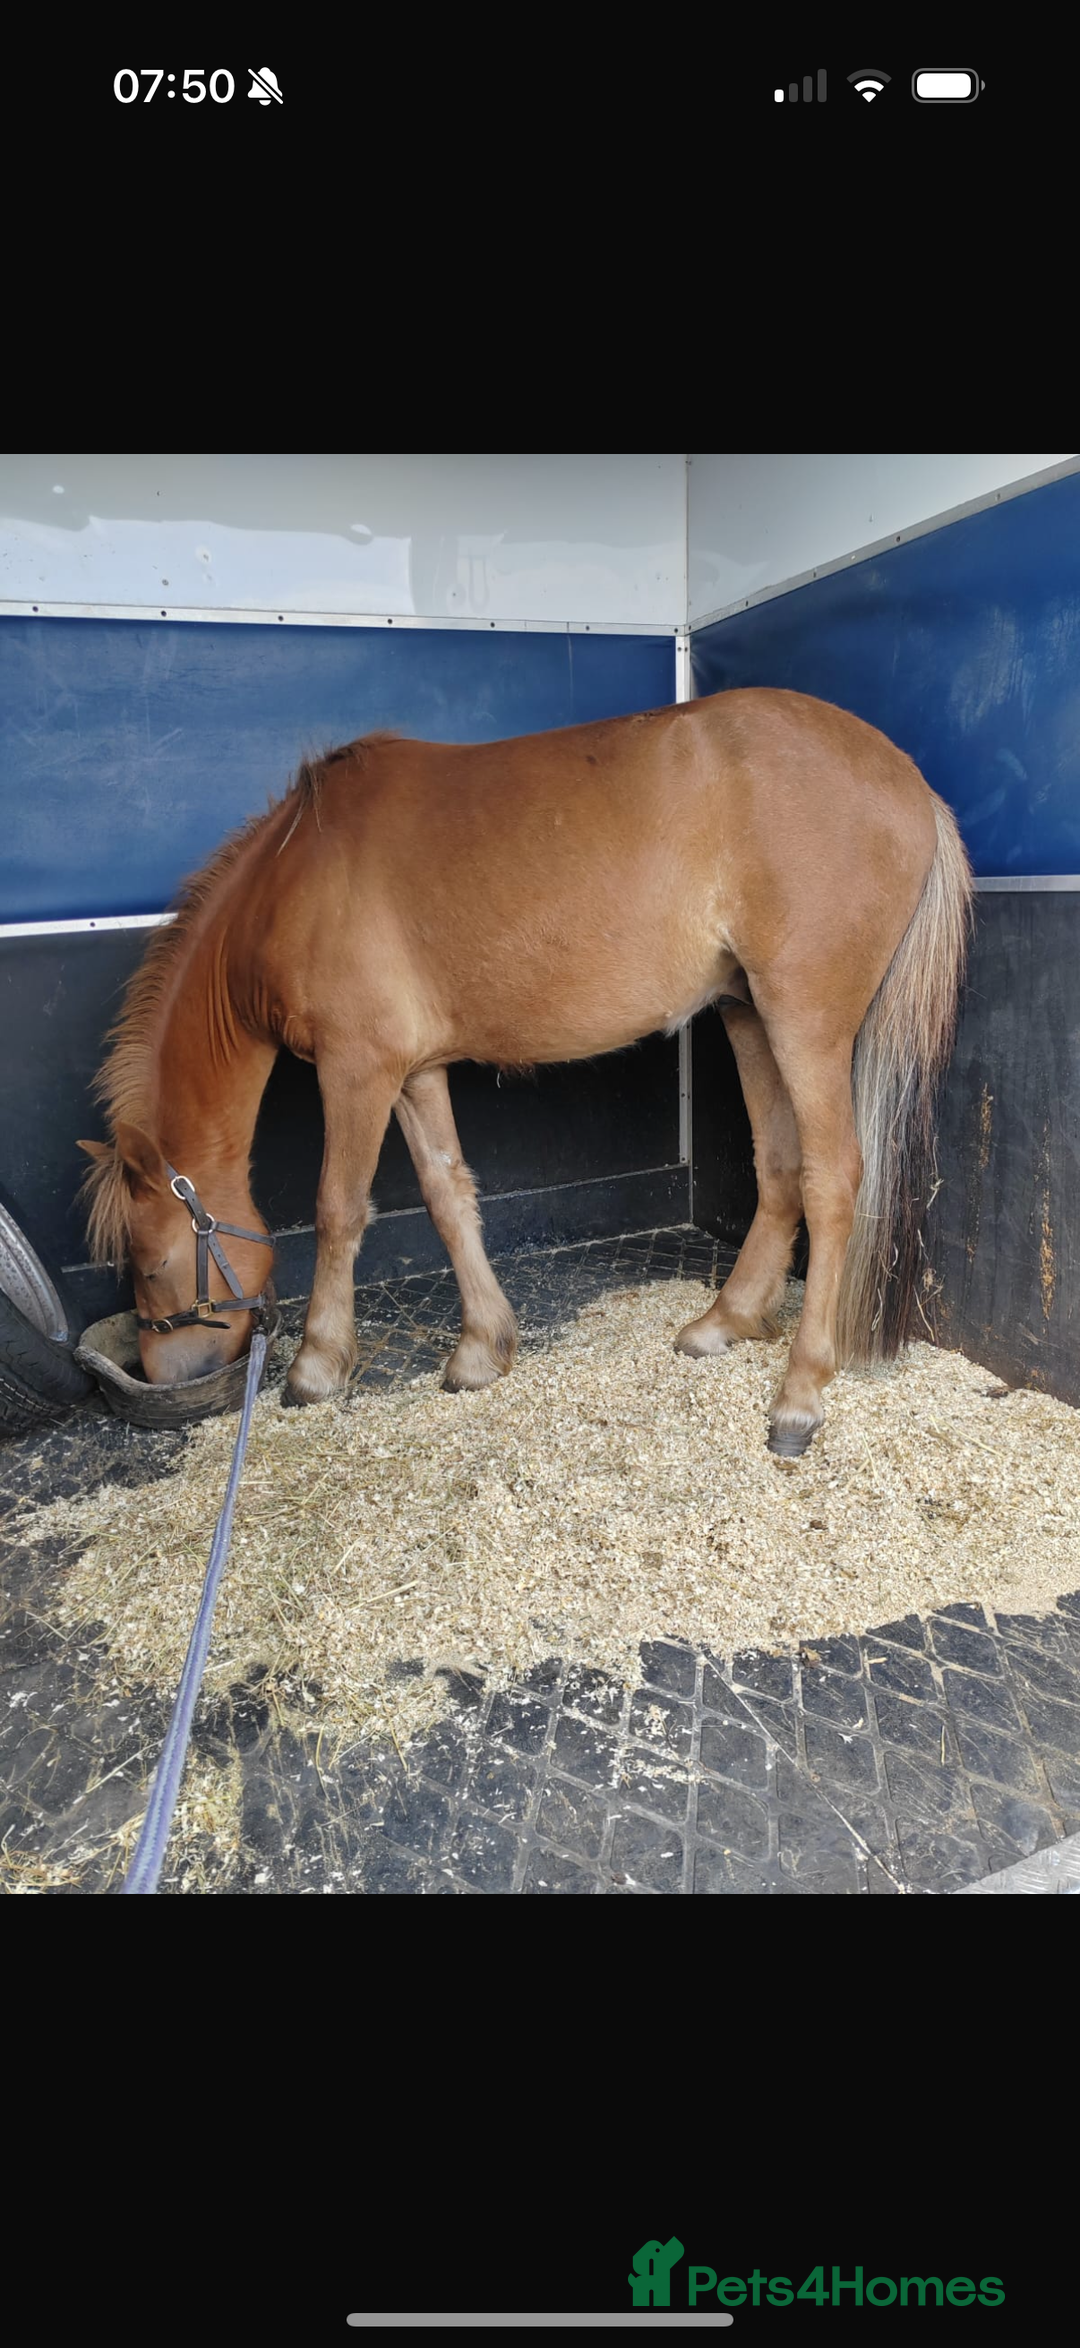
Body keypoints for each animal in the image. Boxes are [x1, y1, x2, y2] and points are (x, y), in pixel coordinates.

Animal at [79, 688, 973, 1457]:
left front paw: (316, 1368)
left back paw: (798, 1397)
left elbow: (339, 1210)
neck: (298, 873)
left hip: (804, 1020)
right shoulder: (414, 1074)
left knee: (832, 1180)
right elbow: (448, 1195)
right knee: (781, 1168)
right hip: (748, 1015)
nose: (164, 1374)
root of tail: (907, 779)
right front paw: (481, 1349)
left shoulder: (356, 1070)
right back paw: (723, 1322)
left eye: (152, 1266)